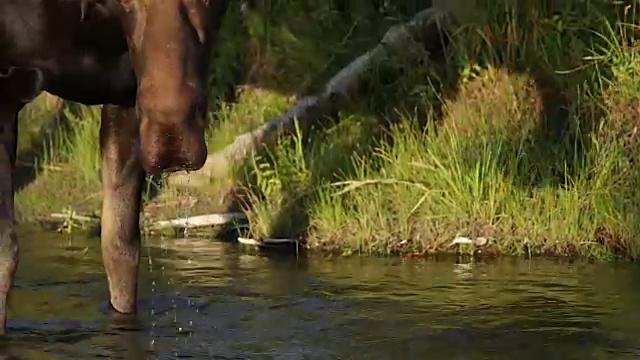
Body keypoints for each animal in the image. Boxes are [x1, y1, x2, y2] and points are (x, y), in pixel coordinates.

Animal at [0, 0, 230, 334]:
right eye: (129, 4)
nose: (171, 138)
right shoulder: (5, 91)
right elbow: (6, 253)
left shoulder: (125, 95)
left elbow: (120, 245)